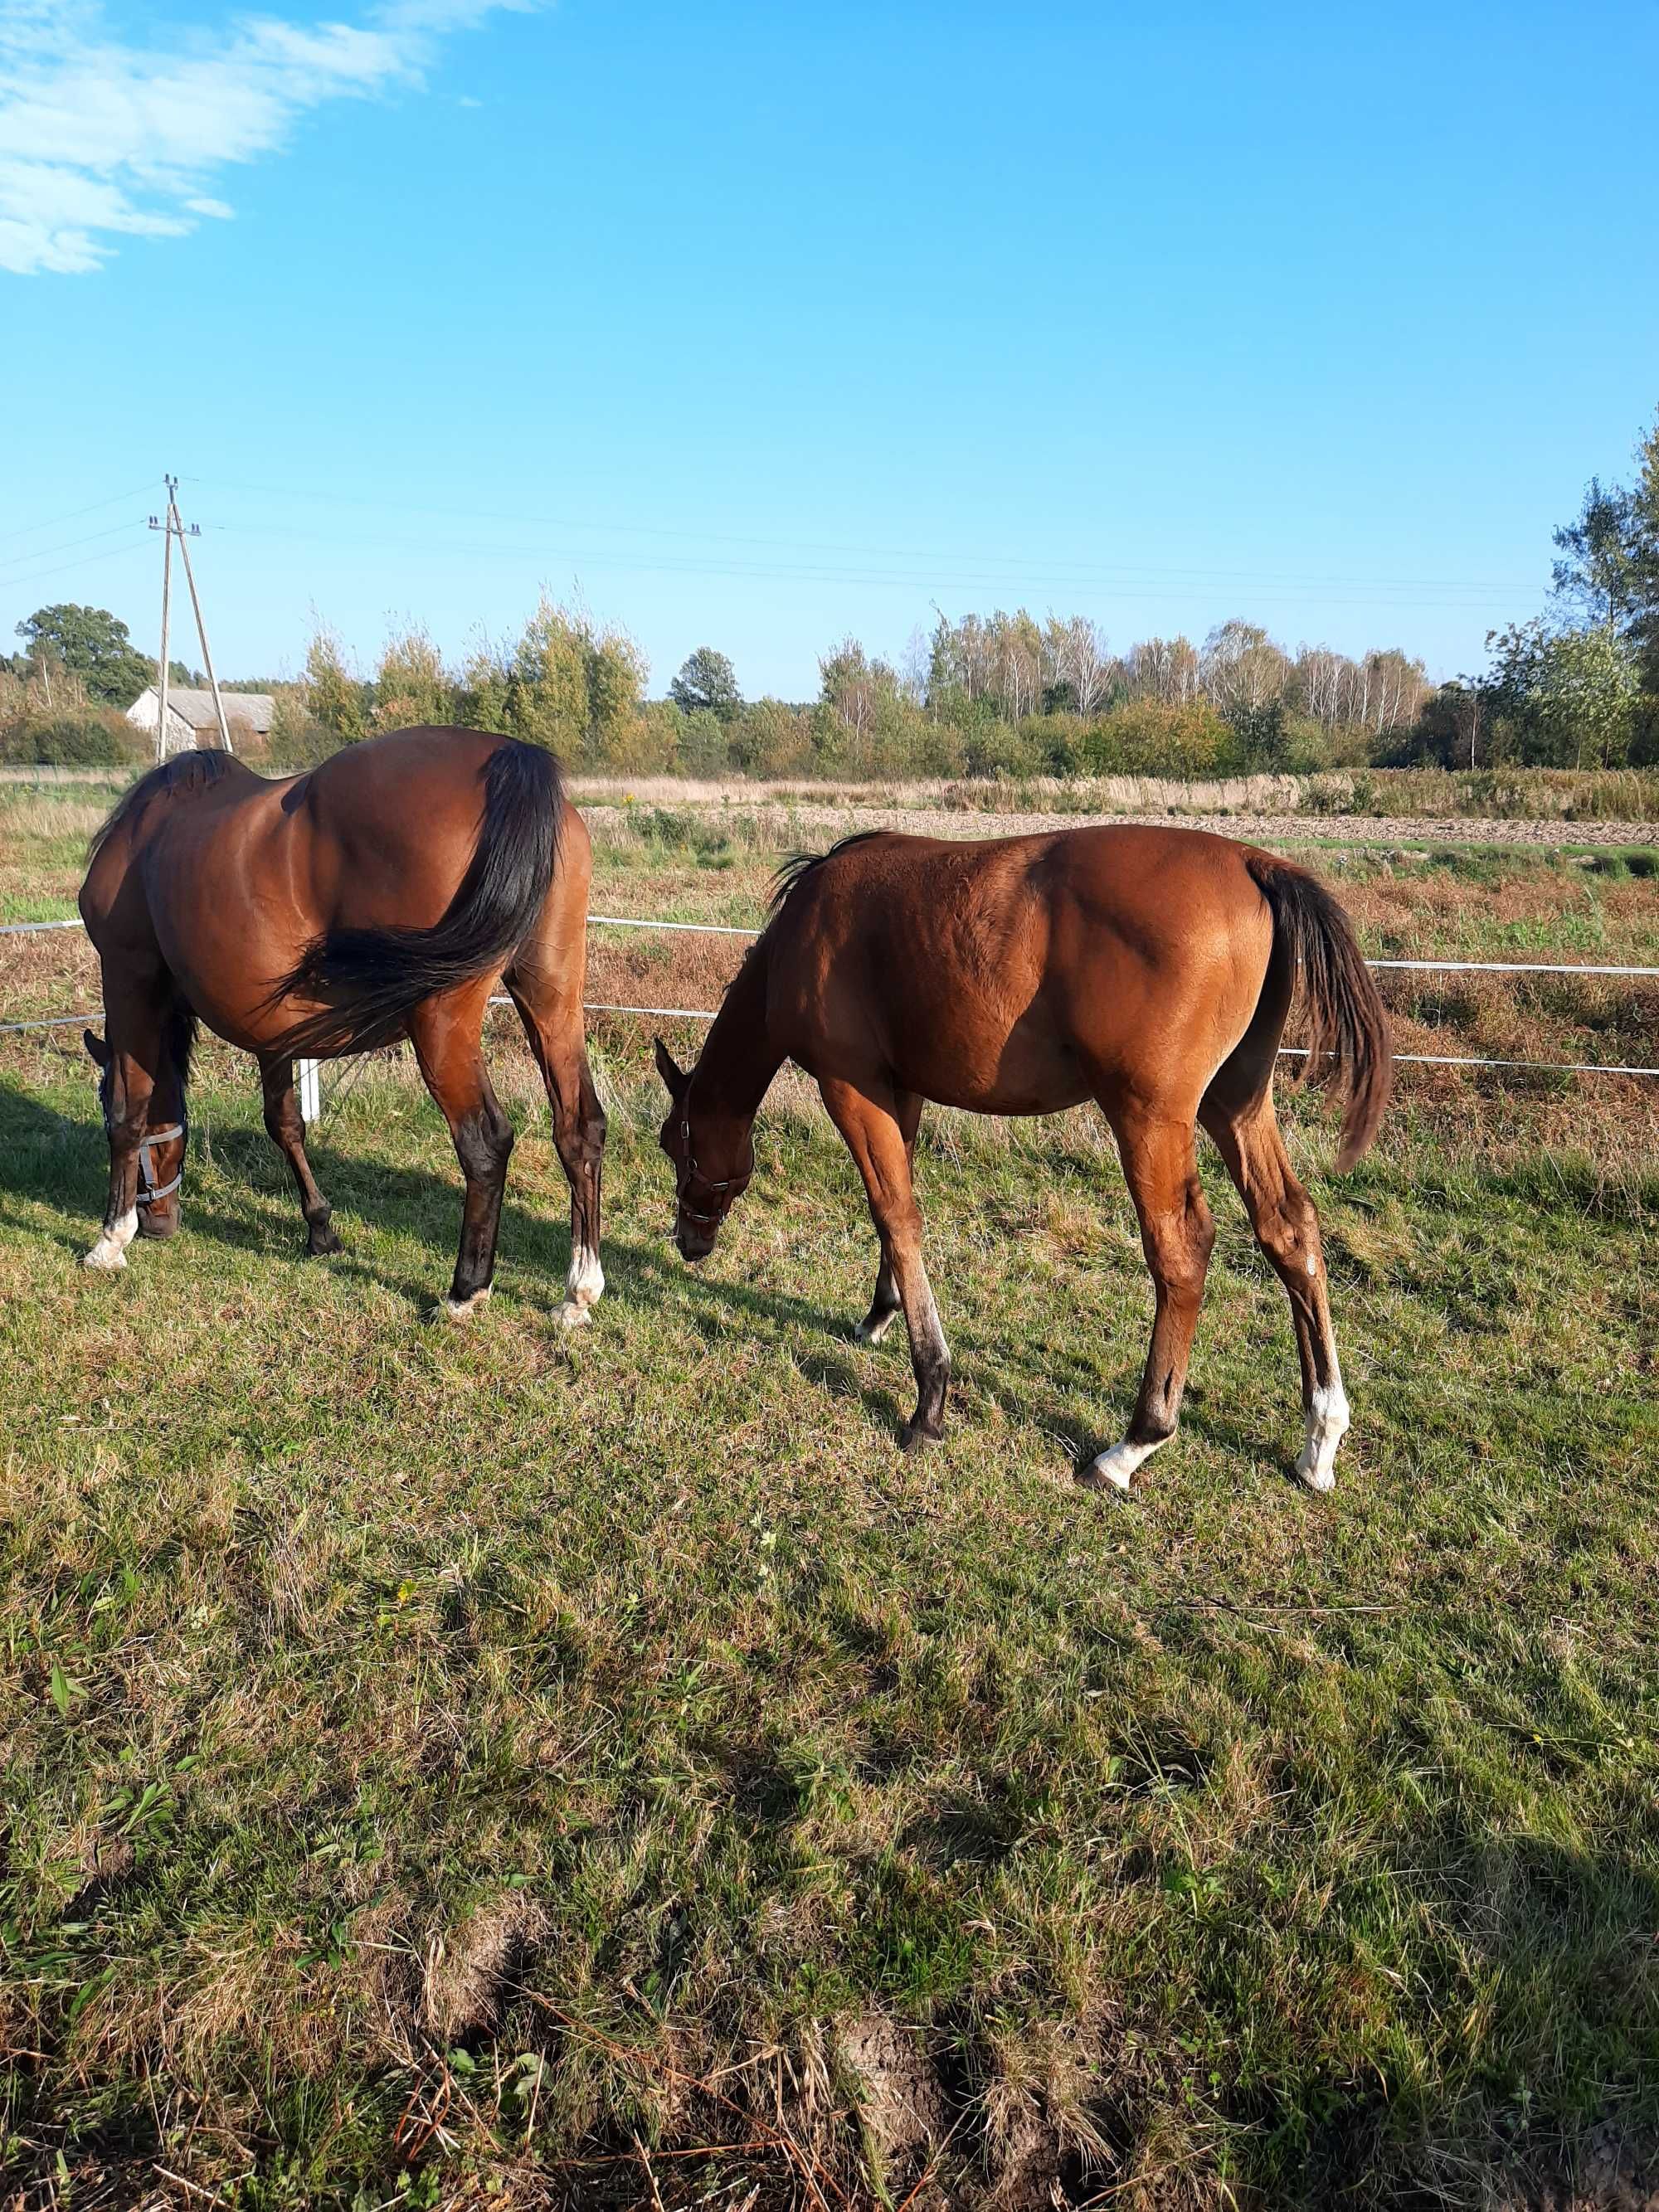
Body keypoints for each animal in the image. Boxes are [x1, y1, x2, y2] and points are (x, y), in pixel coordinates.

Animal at [78, 725, 606, 1318]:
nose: (158, 1223)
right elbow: (285, 1123)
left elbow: (128, 1113)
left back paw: (465, 1290)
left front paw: (109, 1239)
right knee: (579, 1128)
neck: (148, 835)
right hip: (551, 1000)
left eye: (98, 1094)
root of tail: (508, 758)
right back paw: (579, 1291)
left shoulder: (128, 982)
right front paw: (321, 1230)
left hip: (441, 1023)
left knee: (485, 1143)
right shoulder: (273, 1034)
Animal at [654, 831, 1398, 1504]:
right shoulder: (900, 1090)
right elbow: (895, 1211)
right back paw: (1320, 1433)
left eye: (673, 1142)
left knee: (1181, 1251)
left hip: (1150, 1119)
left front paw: (929, 1397)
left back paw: (1134, 1443)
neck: (806, 929)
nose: (688, 1242)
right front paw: (879, 1313)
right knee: (1289, 1229)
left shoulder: (851, 1087)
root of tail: (1252, 862)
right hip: (1236, 1103)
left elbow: (896, 1215)